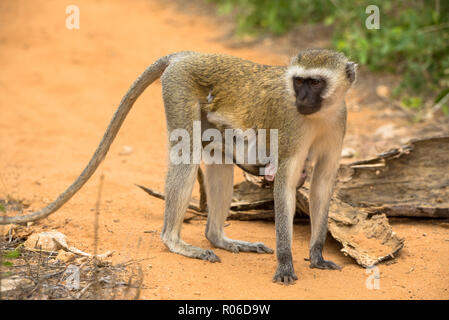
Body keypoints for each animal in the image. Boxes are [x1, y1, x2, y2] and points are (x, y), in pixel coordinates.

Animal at [0, 49, 356, 284]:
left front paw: (317, 255)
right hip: (178, 88)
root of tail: (188, 55)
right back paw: (174, 241)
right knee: (186, 154)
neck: (319, 115)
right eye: (298, 83)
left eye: (314, 83)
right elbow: (284, 184)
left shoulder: (339, 121)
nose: (302, 100)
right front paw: (285, 263)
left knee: (218, 157)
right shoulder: (291, 127)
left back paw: (218, 238)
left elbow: (323, 183)